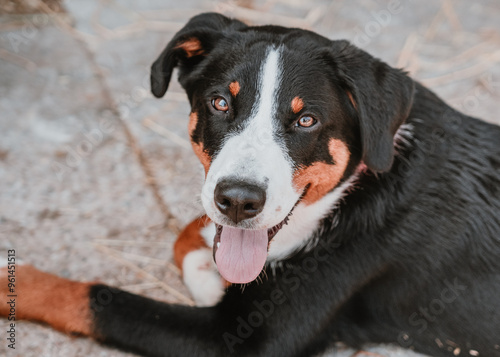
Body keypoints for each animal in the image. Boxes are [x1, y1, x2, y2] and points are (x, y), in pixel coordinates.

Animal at [0, 11, 500, 356]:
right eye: (221, 102)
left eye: (306, 119)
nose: (238, 201)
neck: (345, 197)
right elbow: (193, 231)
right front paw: (208, 272)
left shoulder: (240, 340)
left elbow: (94, 297)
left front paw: (12, 284)